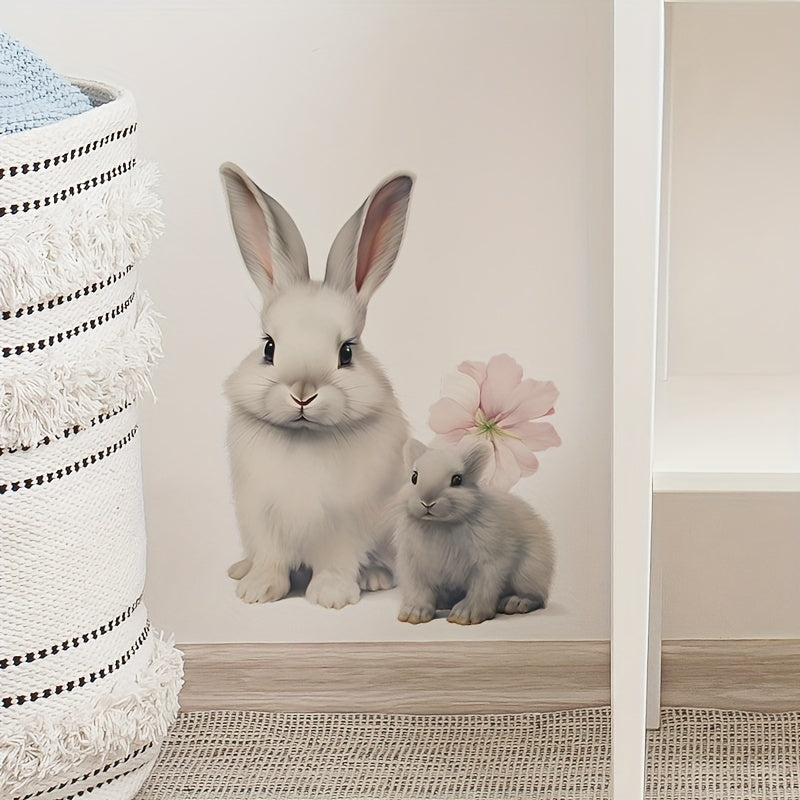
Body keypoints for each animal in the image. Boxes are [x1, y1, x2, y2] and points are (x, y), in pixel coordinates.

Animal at [220, 163, 413, 609]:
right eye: (269, 348)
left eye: (346, 352)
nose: (302, 394)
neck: (305, 438)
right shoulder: (261, 516)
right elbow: (271, 558)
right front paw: (258, 591)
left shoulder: (345, 522)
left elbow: (337, 560)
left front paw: (331, 596)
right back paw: (239, 570)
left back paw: (375, 578)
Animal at [394, 439, 554, 625]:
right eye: (414, 477)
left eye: (457, 479)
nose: (427, 501)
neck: (439, 524)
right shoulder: (413, 565)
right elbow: (419, 590)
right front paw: (414, 614)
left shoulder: (489, 563)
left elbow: (482, 588)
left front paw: (464, 615)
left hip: (530, 571)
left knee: (536, 596)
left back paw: (515, 603)